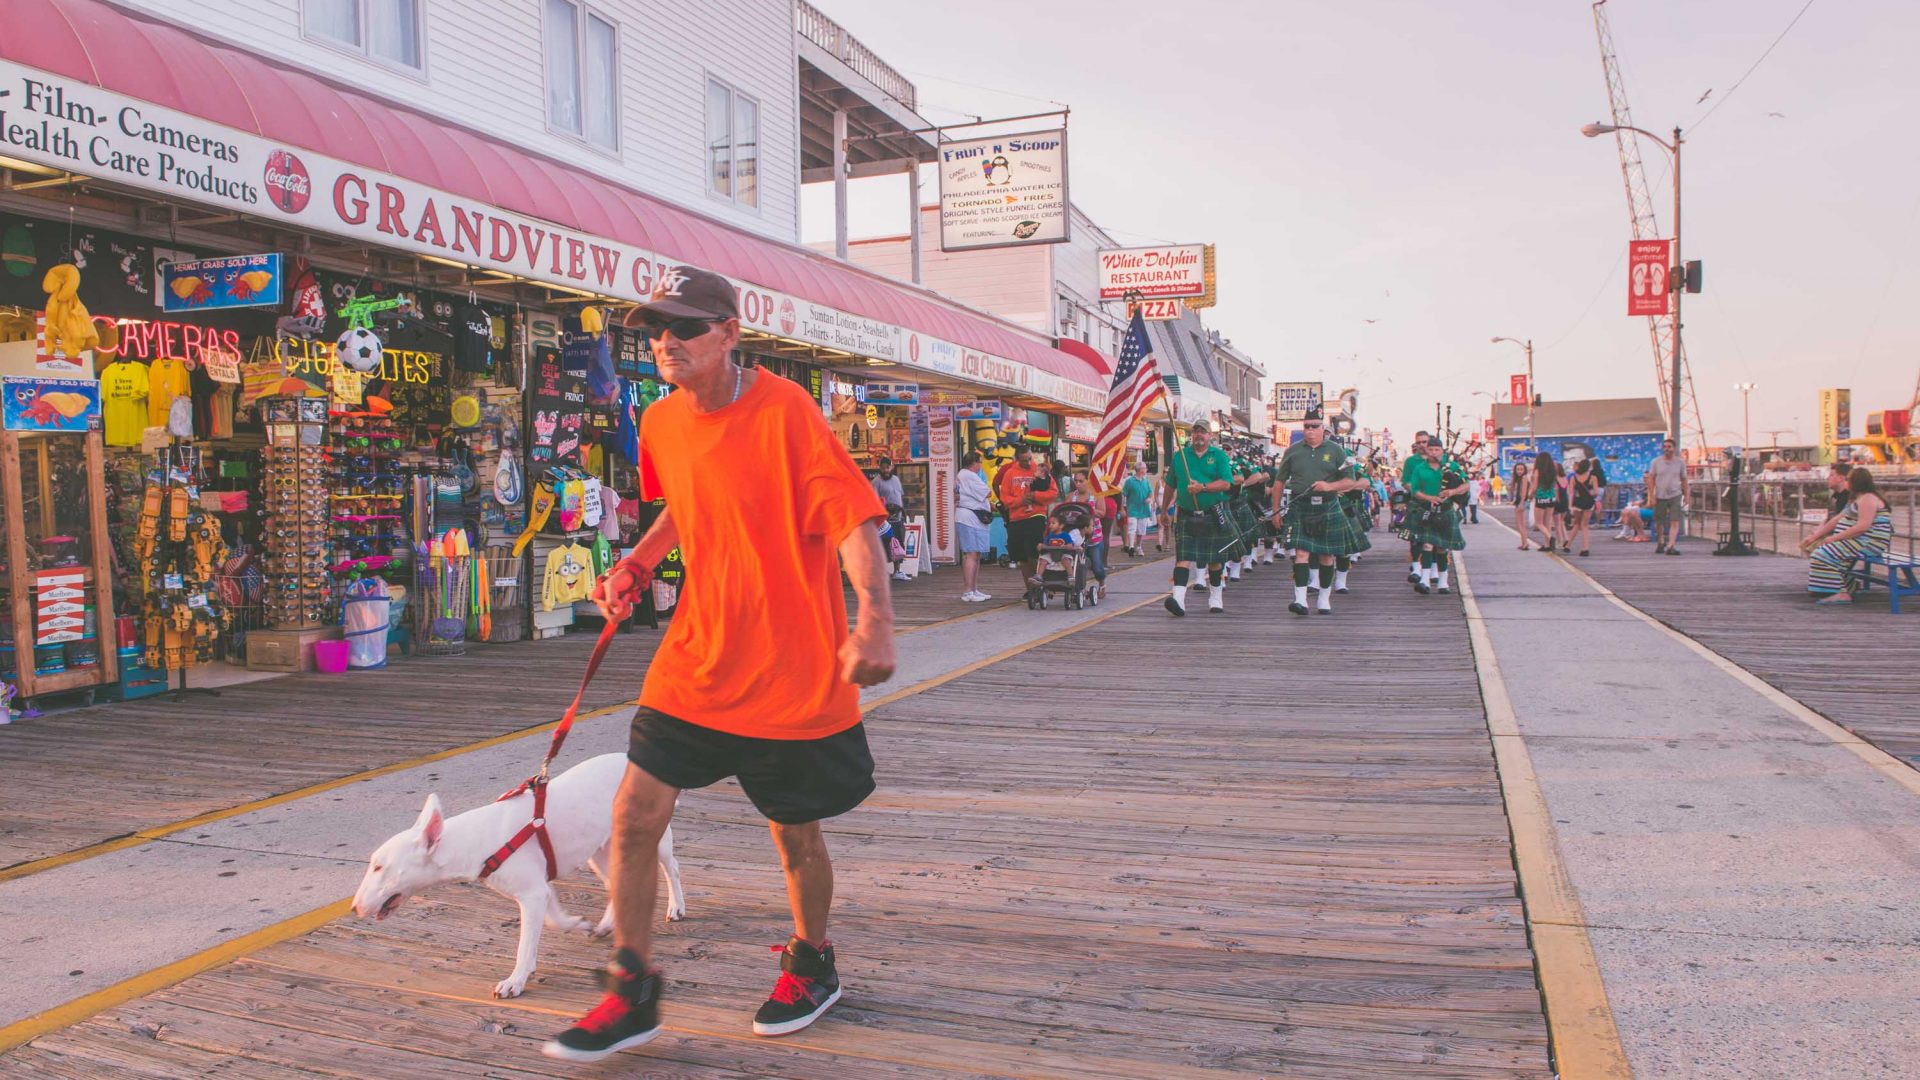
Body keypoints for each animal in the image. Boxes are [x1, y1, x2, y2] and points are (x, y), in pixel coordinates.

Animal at [349, 749, 687, 991]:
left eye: (379, 866)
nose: (354, 908)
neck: (477, 840)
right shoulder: (539, 886)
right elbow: (553, 918)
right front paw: (578, 924)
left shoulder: (532, 892)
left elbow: (526, 944)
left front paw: (515, 982)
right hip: (602, 848)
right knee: (614, 883)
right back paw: (605, 925)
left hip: (653, 834)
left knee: (671, 866)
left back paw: (676, 907)